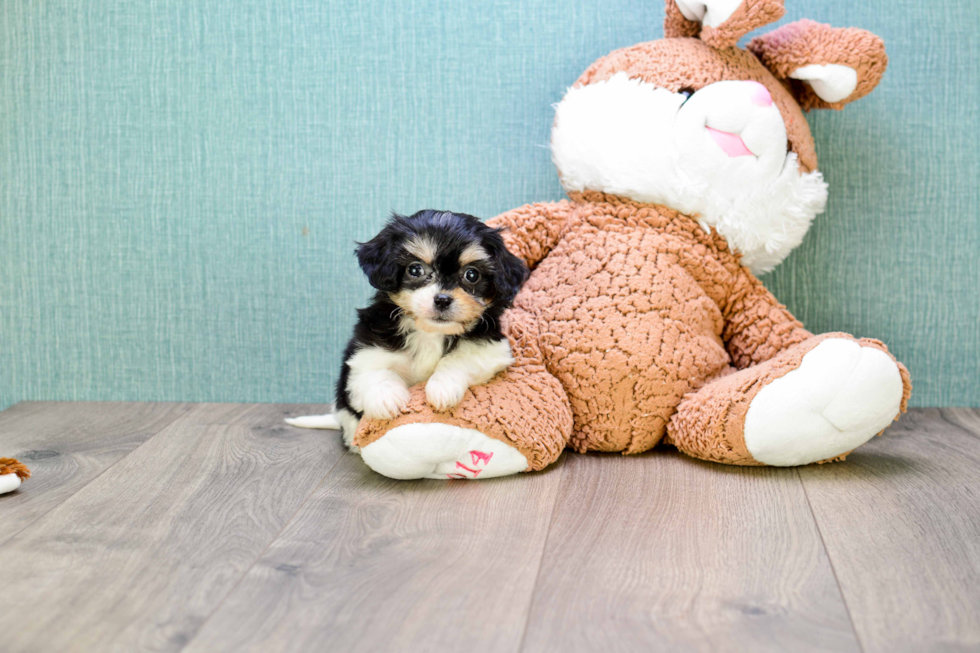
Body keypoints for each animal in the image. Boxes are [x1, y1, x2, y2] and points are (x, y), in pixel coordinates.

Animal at [286, 209, 528, 448]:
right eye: (415, 269)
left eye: (472, 274)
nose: (442, 300)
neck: (429, 332)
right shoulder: (369, 346)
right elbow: (374, 370)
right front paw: (387, 399)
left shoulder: (492, 348)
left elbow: (460, 358)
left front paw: (442, 387)